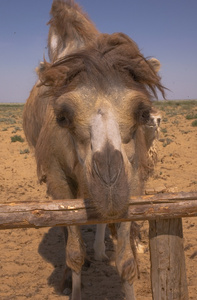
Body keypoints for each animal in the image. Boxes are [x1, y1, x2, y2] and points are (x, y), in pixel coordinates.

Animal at [23, 1, 165, 298]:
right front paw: (74, 283)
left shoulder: (134, 175)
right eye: (62, 116)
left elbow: (126, 262)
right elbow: (74, 252)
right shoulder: (57, 174)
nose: (109, 184)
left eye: (142, 112)